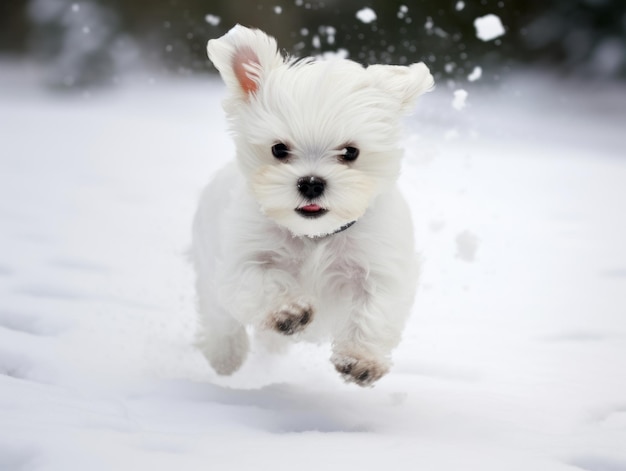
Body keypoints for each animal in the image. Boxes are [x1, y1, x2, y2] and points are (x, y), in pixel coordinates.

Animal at [193, 24, 432, 388]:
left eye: (350, 152)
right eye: (278, 149)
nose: (311, 182)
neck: (315, 235)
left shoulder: (380, 266)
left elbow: (374, 311)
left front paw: (361, 360)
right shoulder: (241, 258)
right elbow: (258, 281)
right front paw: (288, 311)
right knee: (219, 314)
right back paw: (226, 356)